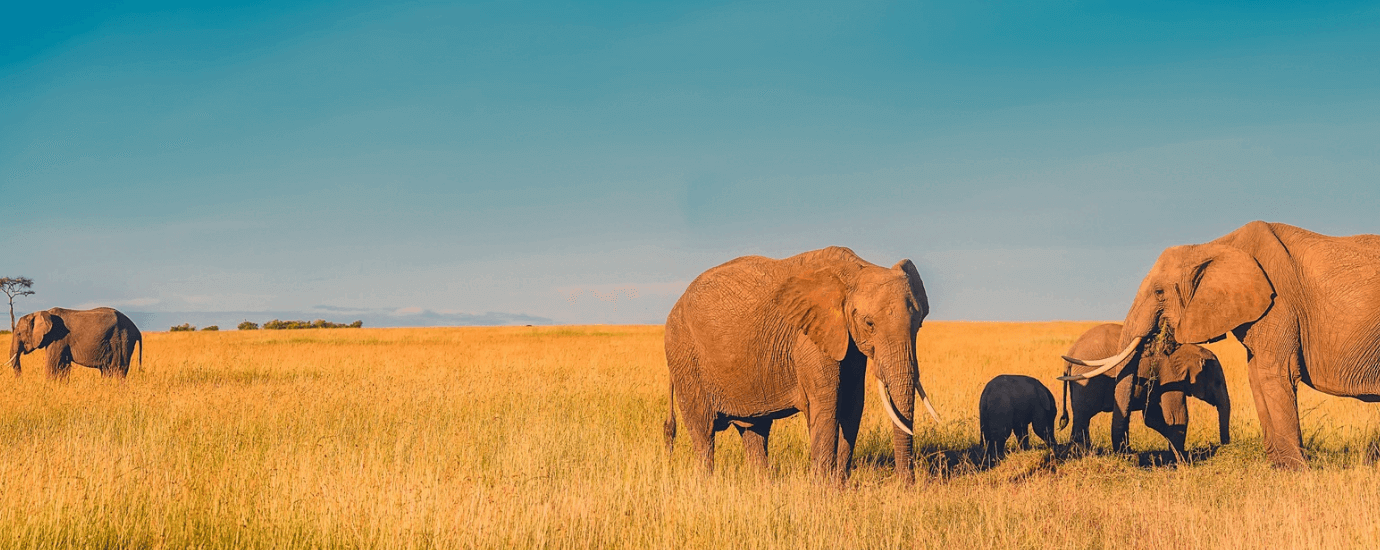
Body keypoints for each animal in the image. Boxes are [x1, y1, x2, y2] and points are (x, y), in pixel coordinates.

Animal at [9, 306, 142, 380]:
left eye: (19, 333)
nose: (21, 380)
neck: (44, 312)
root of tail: (136, 329)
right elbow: (63, 366)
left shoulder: (58, 338)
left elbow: (52, 365)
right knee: (107, 370)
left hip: (121, 339)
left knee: (117, 369)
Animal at [662, 245, 943, 482]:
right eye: (869, 323)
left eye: (919, 324)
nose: (907, 485)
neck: (855, 270)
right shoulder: (808, 338)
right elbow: (827, 404)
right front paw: (822, 489)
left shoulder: (846, 341)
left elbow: (852, 404)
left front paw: (840, 486)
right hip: (684, 354)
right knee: (703, 431)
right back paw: (706, 484)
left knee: (754, 431)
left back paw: (763, 485)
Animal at [1054, 322, 1230, 457]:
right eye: (1218, 382)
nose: (1224, 445)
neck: (1191, 349)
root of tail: (1071, 352)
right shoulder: (1170, 375)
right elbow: (1176, 416)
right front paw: (1182, 460)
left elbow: (1151, 417)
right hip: (1088, 381)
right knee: (1083, 416)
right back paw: (1083, 452)